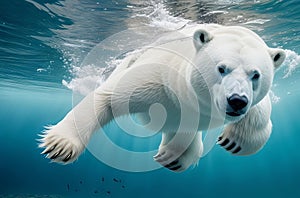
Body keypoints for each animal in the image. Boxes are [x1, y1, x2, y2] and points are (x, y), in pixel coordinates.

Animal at [38, 24, 284, 172]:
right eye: (221, 68)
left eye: (256, 74)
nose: (237, 100)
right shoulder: (160, 76)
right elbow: (107, 97)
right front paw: (60, 144)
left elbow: (261, 109)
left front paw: (234, 141)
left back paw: (174, 157)